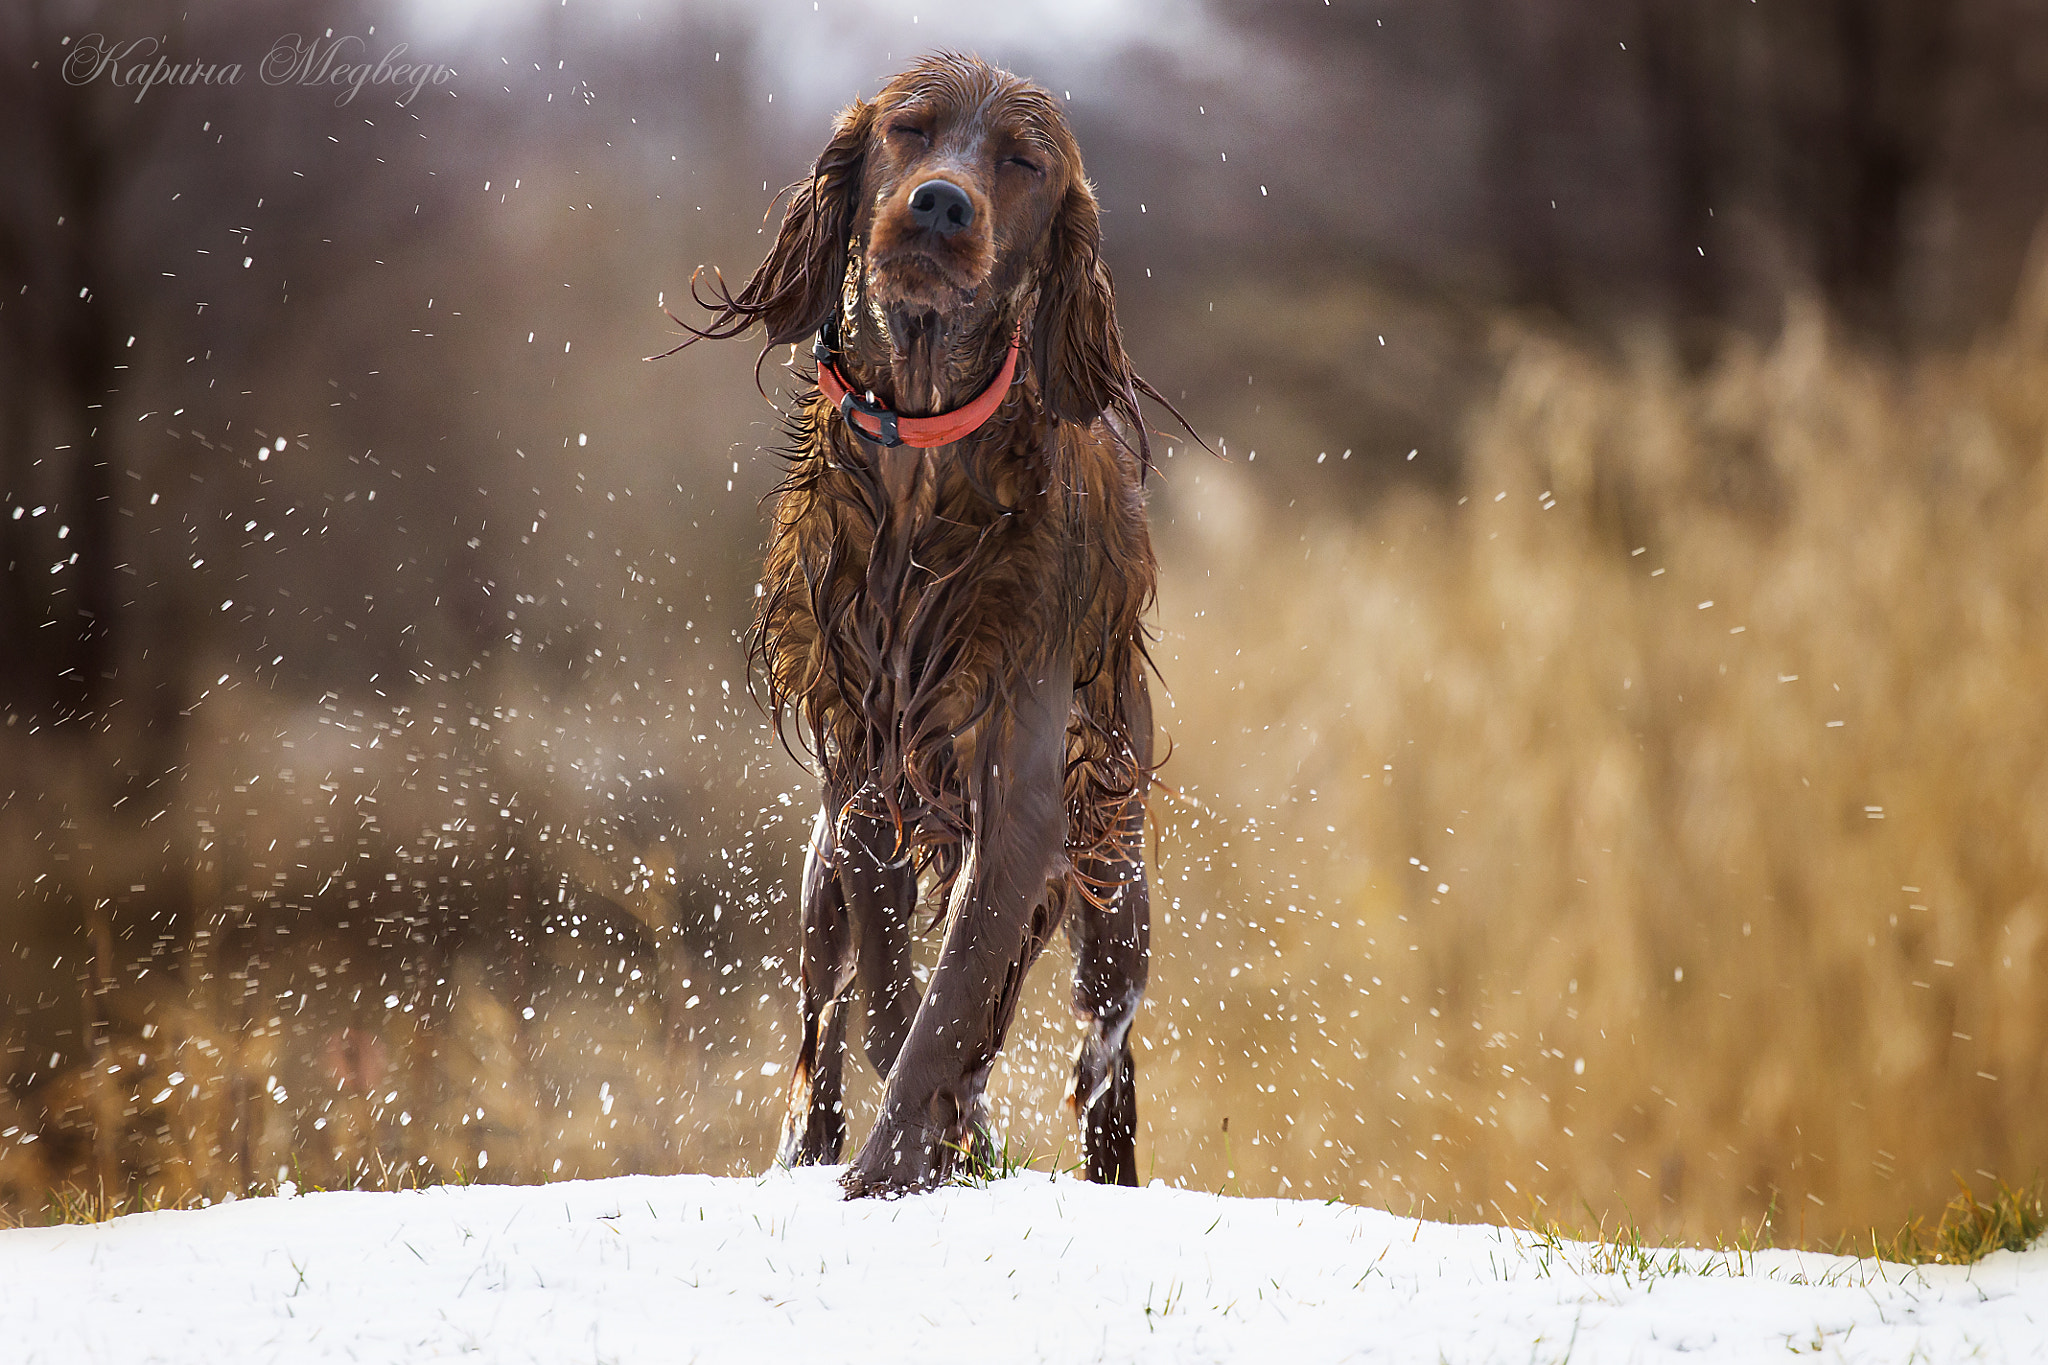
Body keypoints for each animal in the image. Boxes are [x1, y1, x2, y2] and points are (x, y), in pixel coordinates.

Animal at [675, 50, 1179, 1195]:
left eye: (1022, 161)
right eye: (910, 128)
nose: (942, 204)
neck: (921, 454)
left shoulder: (1024, 800)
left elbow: (948, 1009)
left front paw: (895, 1165)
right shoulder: (866, 781)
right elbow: (893, 1006)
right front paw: (920, 1143)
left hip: (1114, 878)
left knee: (1105, 1048)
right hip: (817, 874)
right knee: (825, 1021)